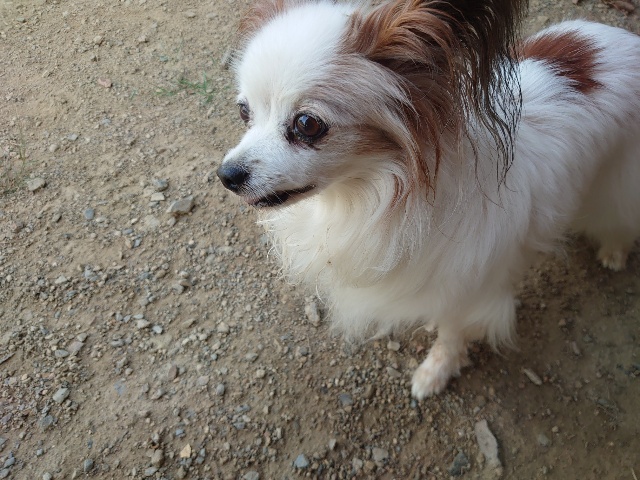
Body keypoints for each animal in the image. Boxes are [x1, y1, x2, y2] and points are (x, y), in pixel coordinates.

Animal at [217, 0, 640, 399]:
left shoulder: (471, 291)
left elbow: (451, 336)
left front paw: (436, 372)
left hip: (617, 183)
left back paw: (614, 253)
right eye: (244, 112)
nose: (227, 176)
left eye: (307, 124)